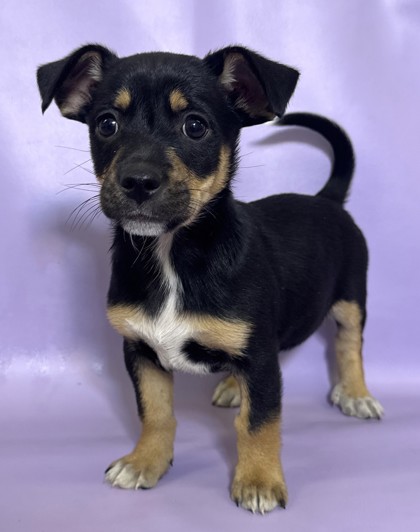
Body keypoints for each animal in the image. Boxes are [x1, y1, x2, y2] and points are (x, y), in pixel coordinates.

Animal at [37, 44, 384, 514]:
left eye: (195, 126)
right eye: (106, 124)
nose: (138, 181)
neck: (172, 254)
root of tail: (326, 199)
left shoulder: (260, 358)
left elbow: (259, 423)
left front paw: (258, 482)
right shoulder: (140, 352)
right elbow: (156, 413)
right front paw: (145, 462)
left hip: (351, 298)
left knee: (350, 344)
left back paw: (355, 393)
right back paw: (234, 387)